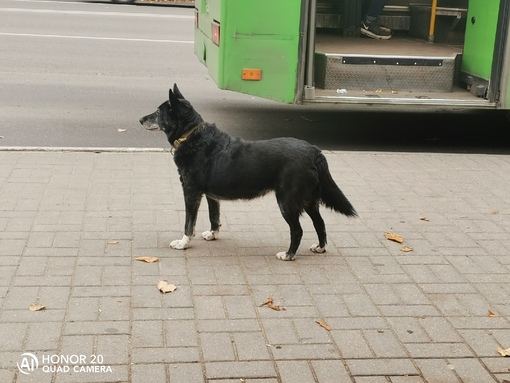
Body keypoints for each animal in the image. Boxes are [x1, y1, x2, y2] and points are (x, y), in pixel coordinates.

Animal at [137, 85, 356, 260]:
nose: (140, 120)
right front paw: (213, 235)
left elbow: (188, 224)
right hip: (309, 200)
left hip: (287, 201)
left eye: (158, 112)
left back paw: (288, 254)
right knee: (320, 223)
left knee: (297, 230)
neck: (192, 136)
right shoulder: (211, 196)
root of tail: (314, 151)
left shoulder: (191, 193)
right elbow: (214, 217)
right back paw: (320, 248)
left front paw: (183, 243)